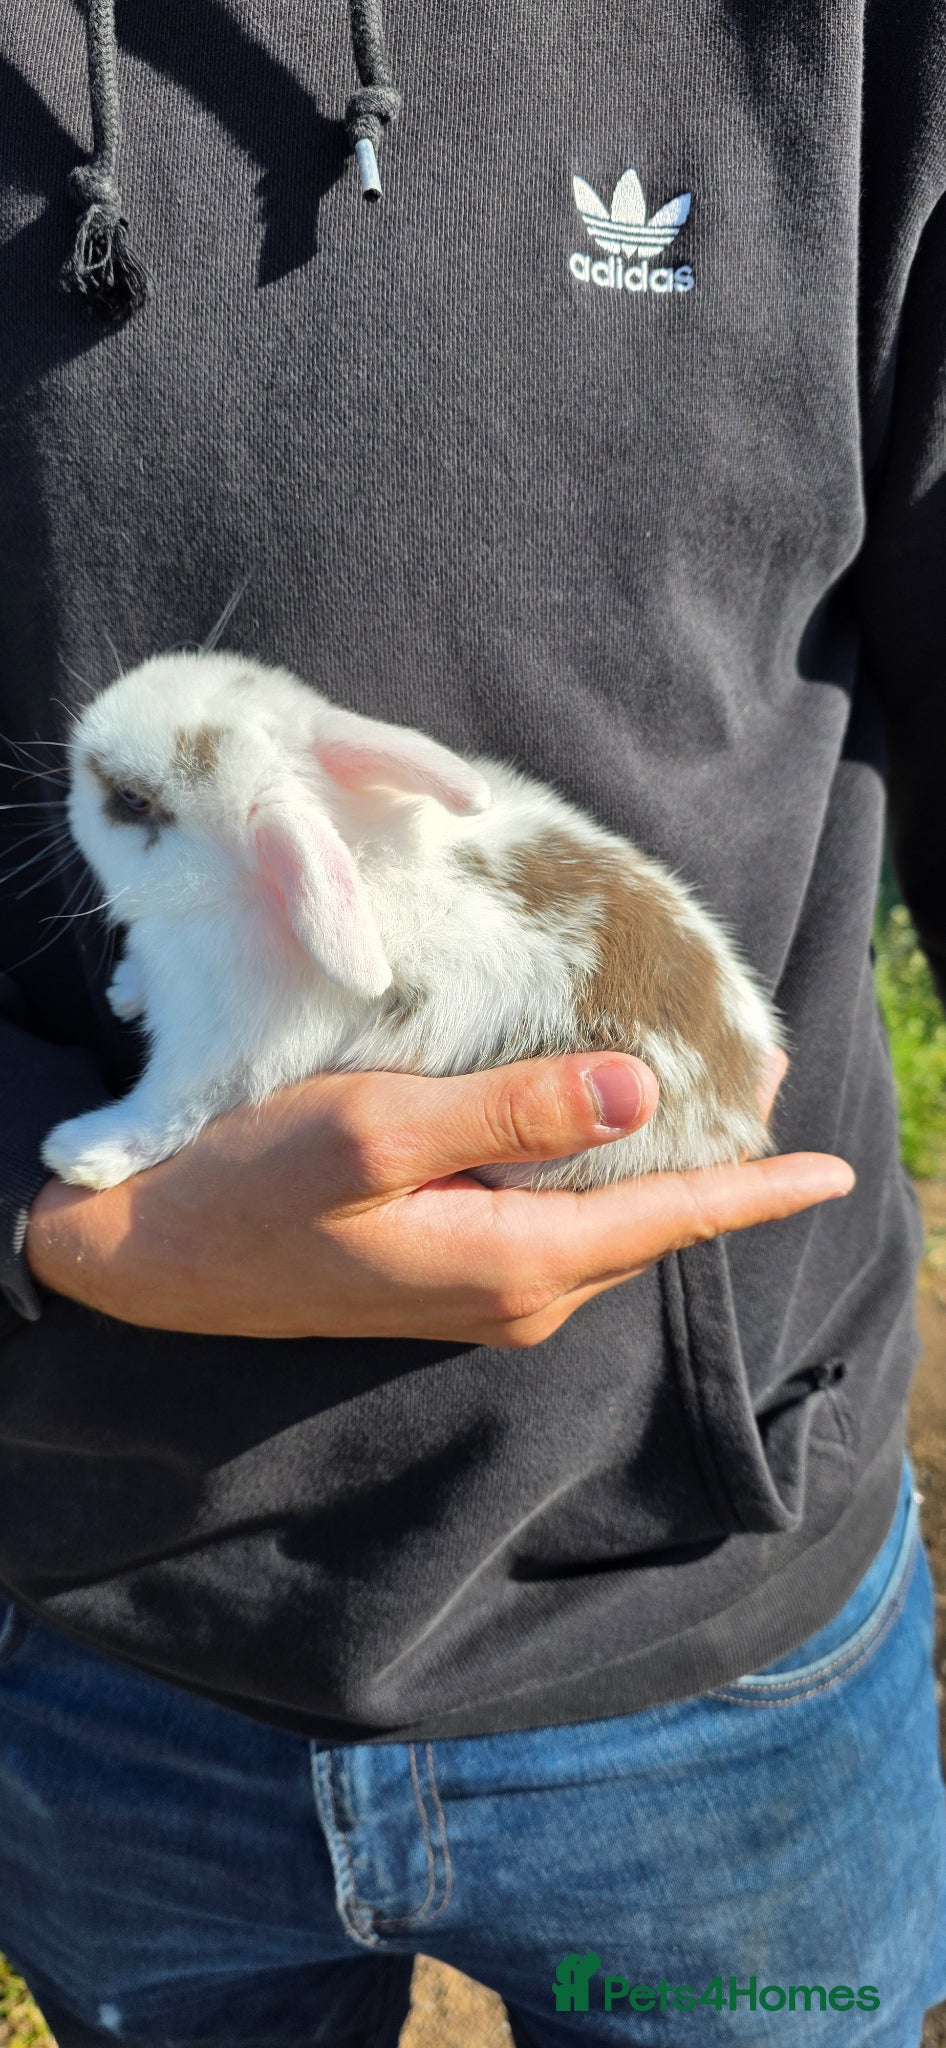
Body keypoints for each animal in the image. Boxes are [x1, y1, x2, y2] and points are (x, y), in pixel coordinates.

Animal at [41, 650, 785, 1193]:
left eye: (132, 800)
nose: (74, 750)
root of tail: (739, 1107)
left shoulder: (212, 1051)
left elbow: (166, 1113)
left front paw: (79, 1154)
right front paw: (124, 989)